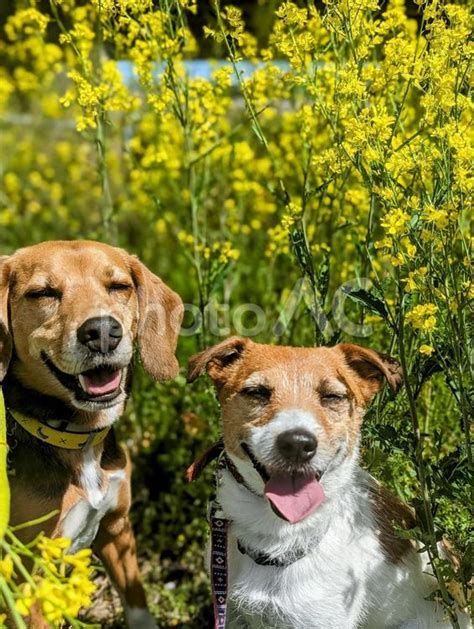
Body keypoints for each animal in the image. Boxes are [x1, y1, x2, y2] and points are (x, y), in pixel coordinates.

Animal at [0, 238, 183, 624]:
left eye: (119, 287)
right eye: (43, 293)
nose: (101, 332)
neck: (76, 439)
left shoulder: (117, 527)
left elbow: (138, 605)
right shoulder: (32, 576)